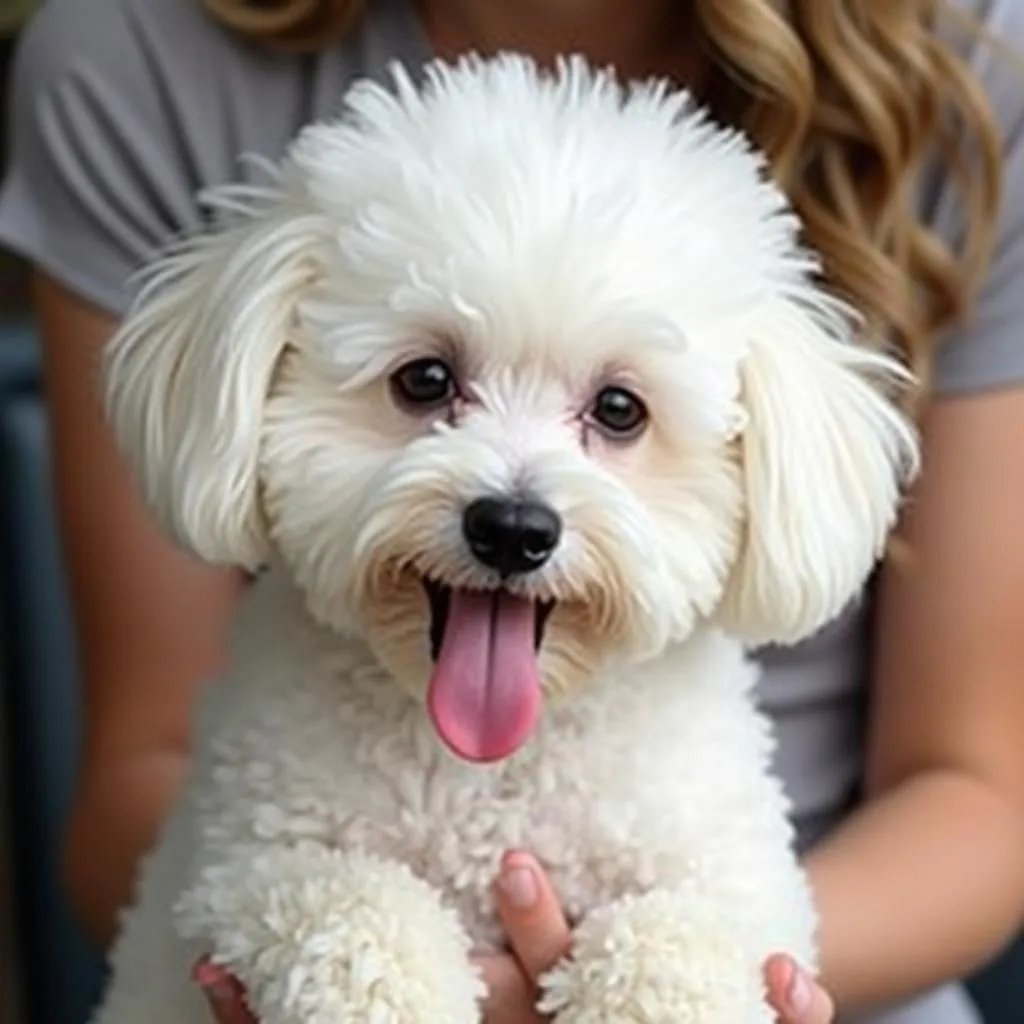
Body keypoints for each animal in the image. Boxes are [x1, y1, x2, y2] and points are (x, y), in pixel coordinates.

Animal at [92, 54, 917, 1024]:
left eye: (619, 408)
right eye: (425, 379)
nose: (514, 529)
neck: (491, 773)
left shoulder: (736, 882)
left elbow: (678, 935)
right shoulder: (244, 856)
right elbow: (351, 901)